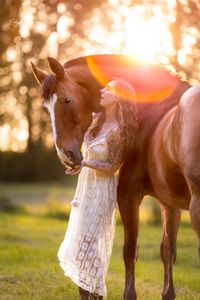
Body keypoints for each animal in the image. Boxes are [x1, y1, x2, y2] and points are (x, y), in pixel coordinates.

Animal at [30, 55, 195, 298]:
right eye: (44, 108)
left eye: (67, 100)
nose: (66, 156)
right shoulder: (169, 204)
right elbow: (168, 251)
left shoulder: (128, 195)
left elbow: (130, 250)